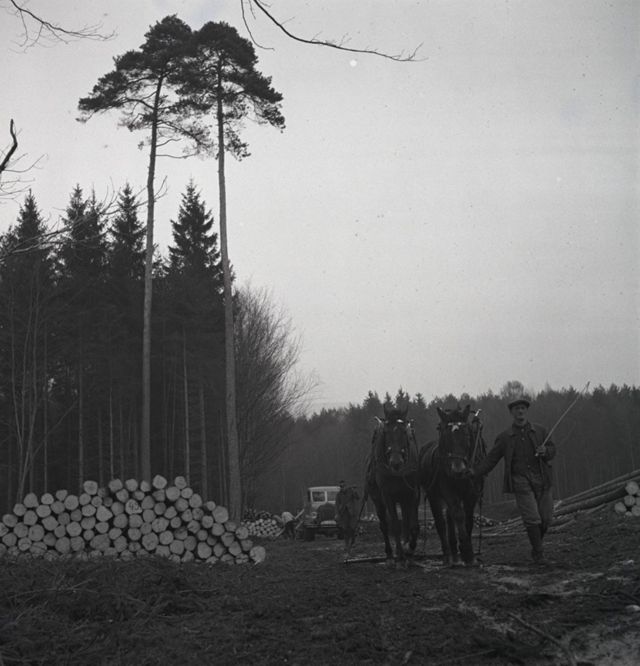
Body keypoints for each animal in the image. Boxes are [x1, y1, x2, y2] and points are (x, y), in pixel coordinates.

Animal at [364, 405, 421, 566]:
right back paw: (390, 553)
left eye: (404, 432)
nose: (396, 462)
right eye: (386, 432)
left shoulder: (412, 494)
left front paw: (409, 549)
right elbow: (395, 525)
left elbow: (411, 525)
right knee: (384, 525)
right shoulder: (387, 495)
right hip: (378, 500)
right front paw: (400, 556)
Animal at [418, 404, 485, 566]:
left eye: (466, 435)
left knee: (449, 516)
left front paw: (469, 555)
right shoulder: (447, 490)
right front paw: (467, 552)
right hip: (433, 496)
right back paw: (448, 556)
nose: (458, 470)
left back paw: (455, 554)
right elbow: (458, 515)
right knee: (441, 523)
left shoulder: (472, 492)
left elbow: (468, 518)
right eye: (446, 436)